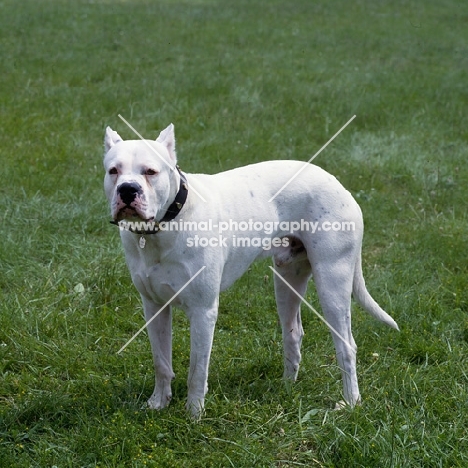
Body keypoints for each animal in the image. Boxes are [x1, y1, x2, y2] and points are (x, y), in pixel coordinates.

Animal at [103, 123, 398, 416]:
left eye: (150, 172)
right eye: (113, 171)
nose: (127, 190)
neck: (165, 225)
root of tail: (338, 184)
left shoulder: (203, 311)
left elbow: (197, 371)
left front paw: (194, 415)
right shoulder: (154, 307)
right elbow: (161, 362)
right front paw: (158, 403)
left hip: (332, 285)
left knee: (346, 345)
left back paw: (350, 402)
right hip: (287, 281)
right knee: (293, 334)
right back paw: (287, 387)